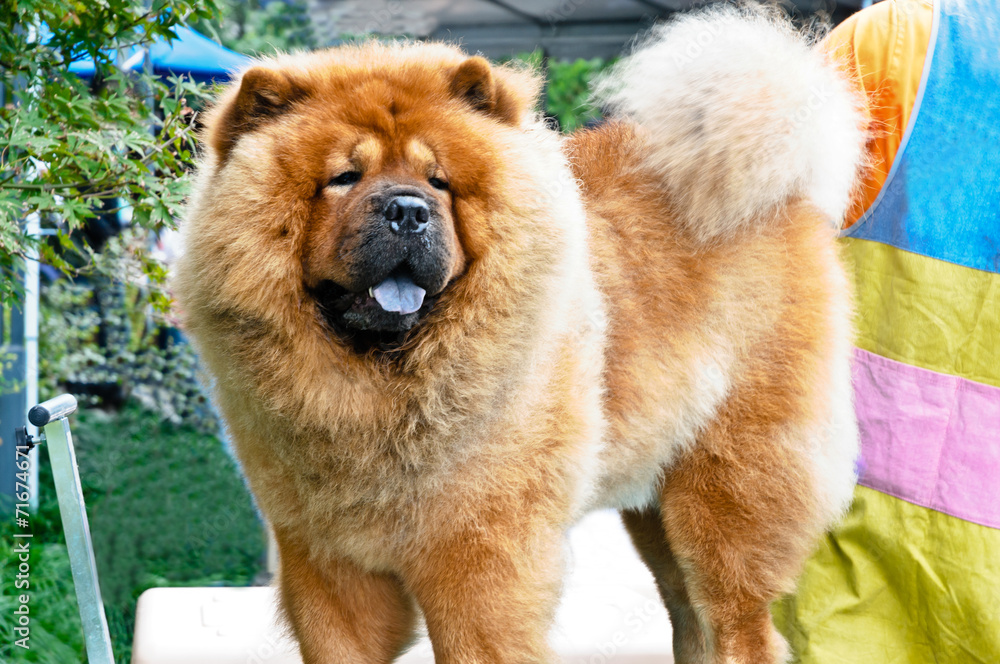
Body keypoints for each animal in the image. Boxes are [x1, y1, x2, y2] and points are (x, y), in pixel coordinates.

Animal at [178, 6, 868, 664]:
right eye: (344, 177)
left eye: (439, 182)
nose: (407, 210)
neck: (379, 390)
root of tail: (785, 194)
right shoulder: (323, 563)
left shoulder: (481, 561)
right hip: (658, 510)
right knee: (689, 615)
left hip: (729, 493)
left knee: (740, 623)